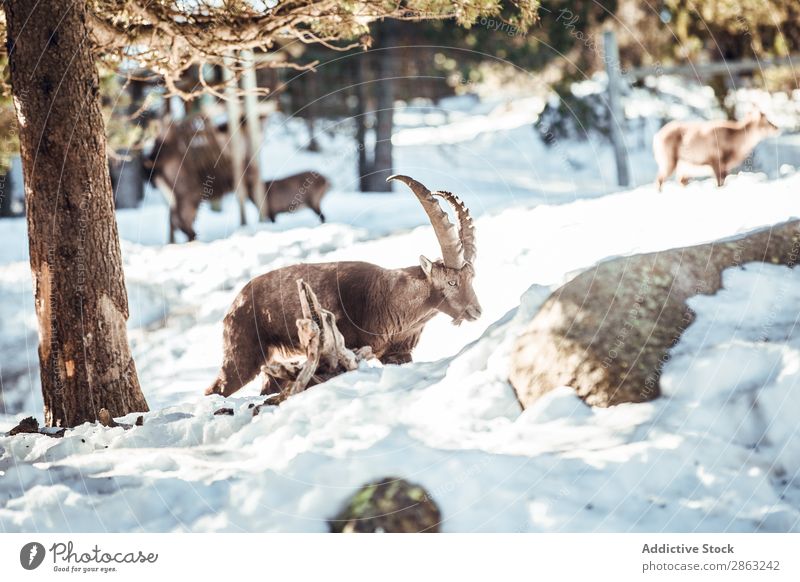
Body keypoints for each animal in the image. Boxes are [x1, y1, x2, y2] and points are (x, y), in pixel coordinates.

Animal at [652, 109, 780, 192]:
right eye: (767, 121)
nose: (777, 128)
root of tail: (656, 137)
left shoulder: (724, 167)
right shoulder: (715, 161)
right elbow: (719, 183)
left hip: (685, 168)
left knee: (680, 181)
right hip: (669, 161)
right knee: (659, 179)